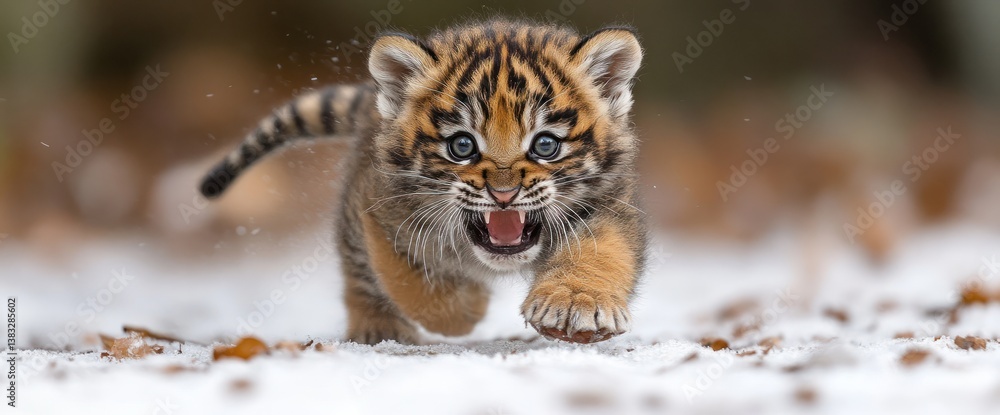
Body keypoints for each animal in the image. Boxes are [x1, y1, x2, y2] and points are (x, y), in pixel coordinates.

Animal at [199, 19, 647, 345]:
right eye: (462, 146)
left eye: (546, 145)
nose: (504, 194)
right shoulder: (377, 207)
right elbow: (408, 282)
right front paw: (469, 309)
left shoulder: (608, 204)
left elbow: (599, 252)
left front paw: (575, 308)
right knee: (359, 274)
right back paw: (378, 328)